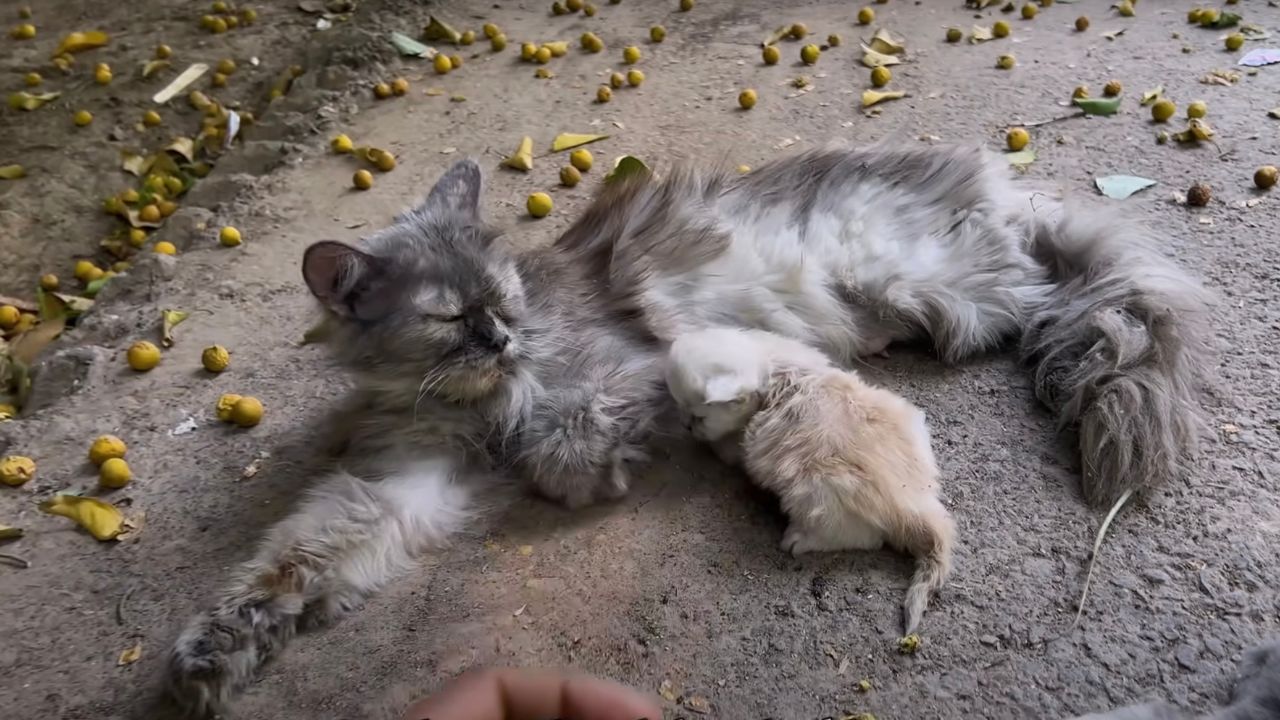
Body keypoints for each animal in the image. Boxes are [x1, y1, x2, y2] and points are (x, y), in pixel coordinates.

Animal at [665, 327, 957, 630]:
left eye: (699, 416)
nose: (685, 424)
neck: (772, 370)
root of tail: (913, 503)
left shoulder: (738, 446)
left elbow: (721, 446)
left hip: (814, 492)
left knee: (864, 537)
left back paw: (797, 540)